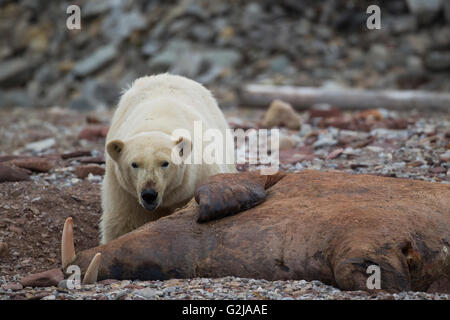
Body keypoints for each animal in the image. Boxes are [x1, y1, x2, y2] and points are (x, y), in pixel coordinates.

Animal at [100, 74, 237, 244]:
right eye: (134, 164)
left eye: (165, 163)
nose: (149, 194)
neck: (157, 122)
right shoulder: (123, 190)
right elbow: (123, 223)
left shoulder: (201, 172)